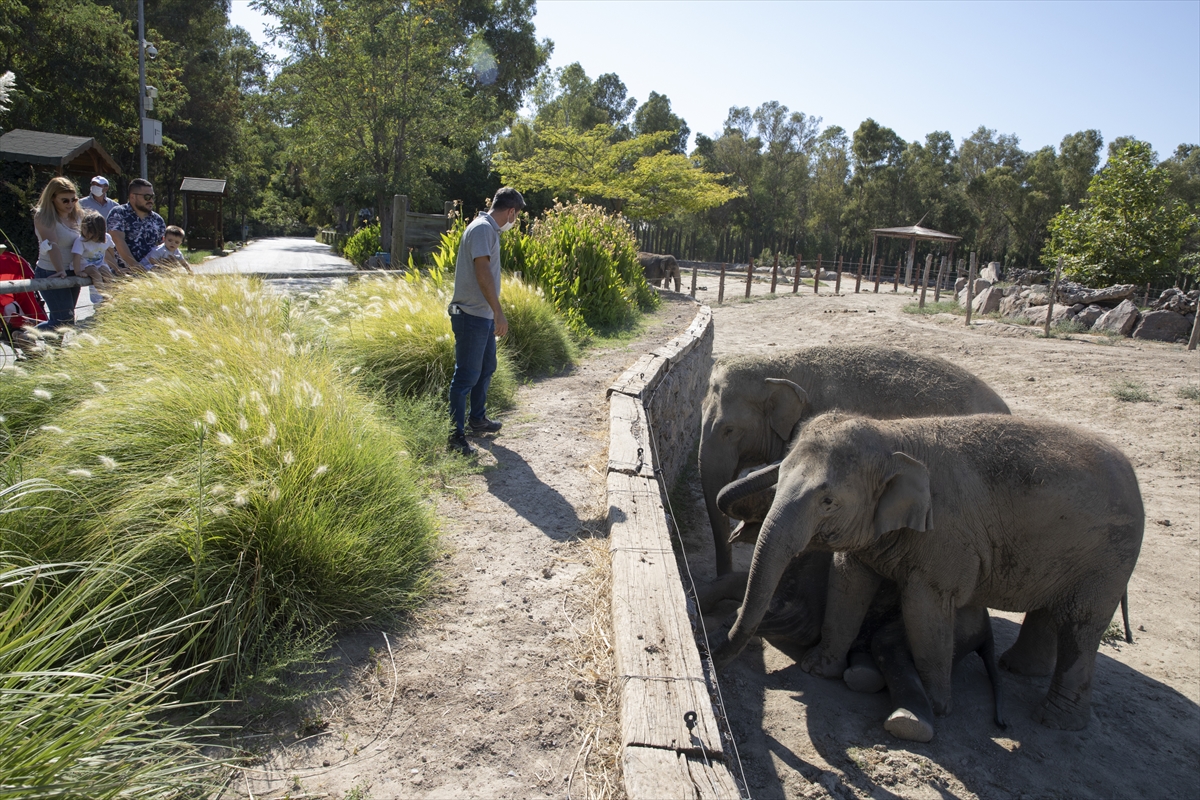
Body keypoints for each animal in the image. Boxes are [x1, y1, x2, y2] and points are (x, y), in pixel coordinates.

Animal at [710, 412, 1142, 734]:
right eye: (778, 478)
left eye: (828, 501)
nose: (714, 651)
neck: (894, 437)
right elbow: (849, 585)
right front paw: (818, 669)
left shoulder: (947, 541)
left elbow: (925, 608)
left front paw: (938, 706)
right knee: (1051, 612)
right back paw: (1017, 670)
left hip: (1109, 558)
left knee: (1081, 625)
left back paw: (1053, 720)